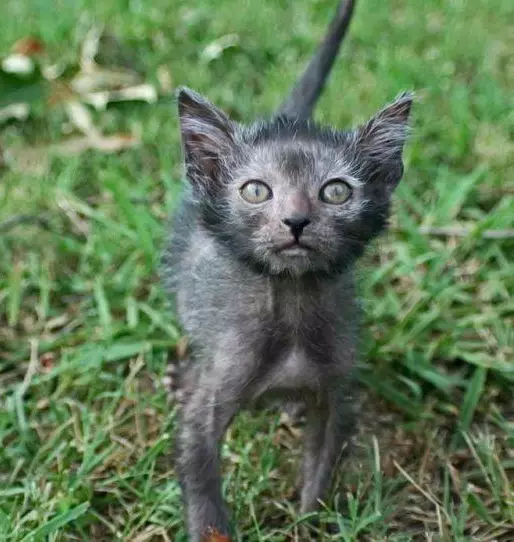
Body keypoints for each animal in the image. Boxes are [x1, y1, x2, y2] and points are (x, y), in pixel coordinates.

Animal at [160, 1, 412, 540]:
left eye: (336, 191)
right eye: (256, 190)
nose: (296, 221)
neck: (292, 305)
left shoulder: (335, 394)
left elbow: (322, 468)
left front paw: (309, 522)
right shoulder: (210, 398)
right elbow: (200, 471)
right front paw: (211, 526)